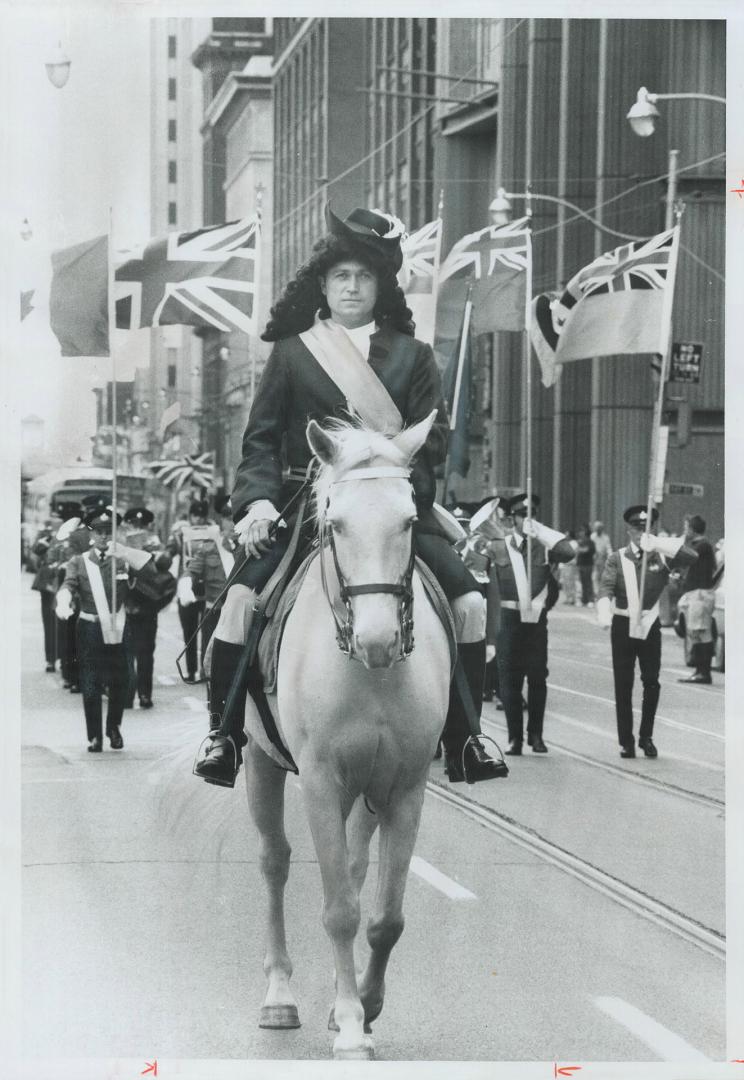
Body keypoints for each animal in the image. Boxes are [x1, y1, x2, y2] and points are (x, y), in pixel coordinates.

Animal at [241, 408, 447, 1058]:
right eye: (334, 523)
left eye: (410, 520)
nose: (378, 640)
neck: (368, 674)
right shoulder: (319, 782)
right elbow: (338, 911)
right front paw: (353, 1026)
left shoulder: (405, 787)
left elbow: (384, 917)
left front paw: (363, 1004)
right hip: (259, 760)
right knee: (274, 862)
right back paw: (279, 996)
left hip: (366, 788)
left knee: (356, 872)